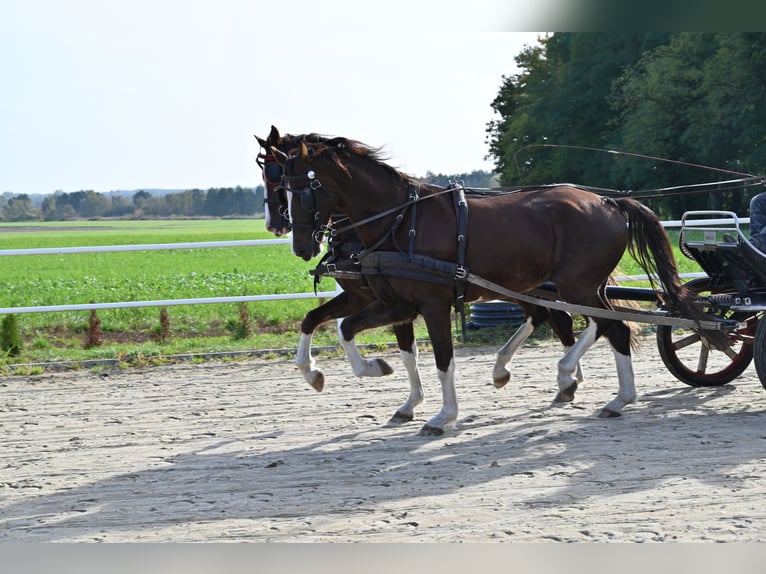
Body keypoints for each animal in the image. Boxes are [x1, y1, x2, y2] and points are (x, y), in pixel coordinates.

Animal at [274, 136, 717, 436]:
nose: (300, 244)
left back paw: (610, 395)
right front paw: (366, 373)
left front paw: (442, 415)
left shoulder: (432, 305)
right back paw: (574, 382)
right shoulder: (395, 304)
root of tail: (608, 202)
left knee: (613, 327)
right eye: (280, 187)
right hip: (566, 286)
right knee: (594, 322)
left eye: (304, 190)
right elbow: (343, 328)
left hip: (575, 286)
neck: (401, 221)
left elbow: (442, 359)